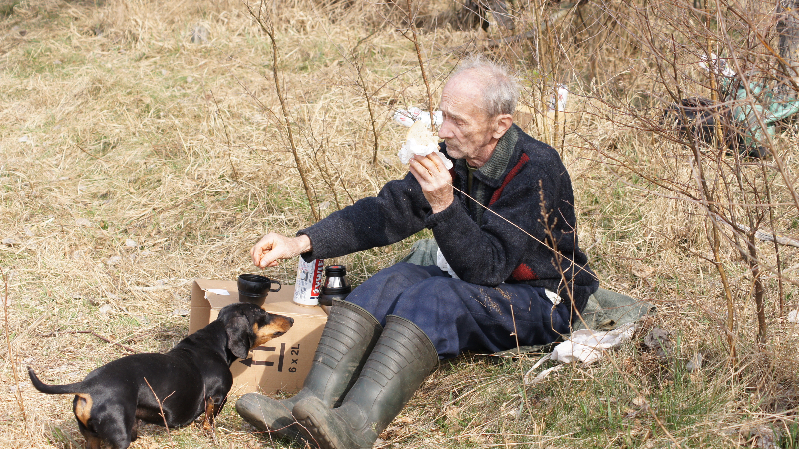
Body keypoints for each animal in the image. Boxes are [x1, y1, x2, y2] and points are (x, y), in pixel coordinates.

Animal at [28, 302, 293, 449]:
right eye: (262, 313)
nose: (291, 318)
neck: (213, 343)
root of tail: (88, 386)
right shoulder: (218, 398)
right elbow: (209, 421)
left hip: (92, 437)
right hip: (118, 437)